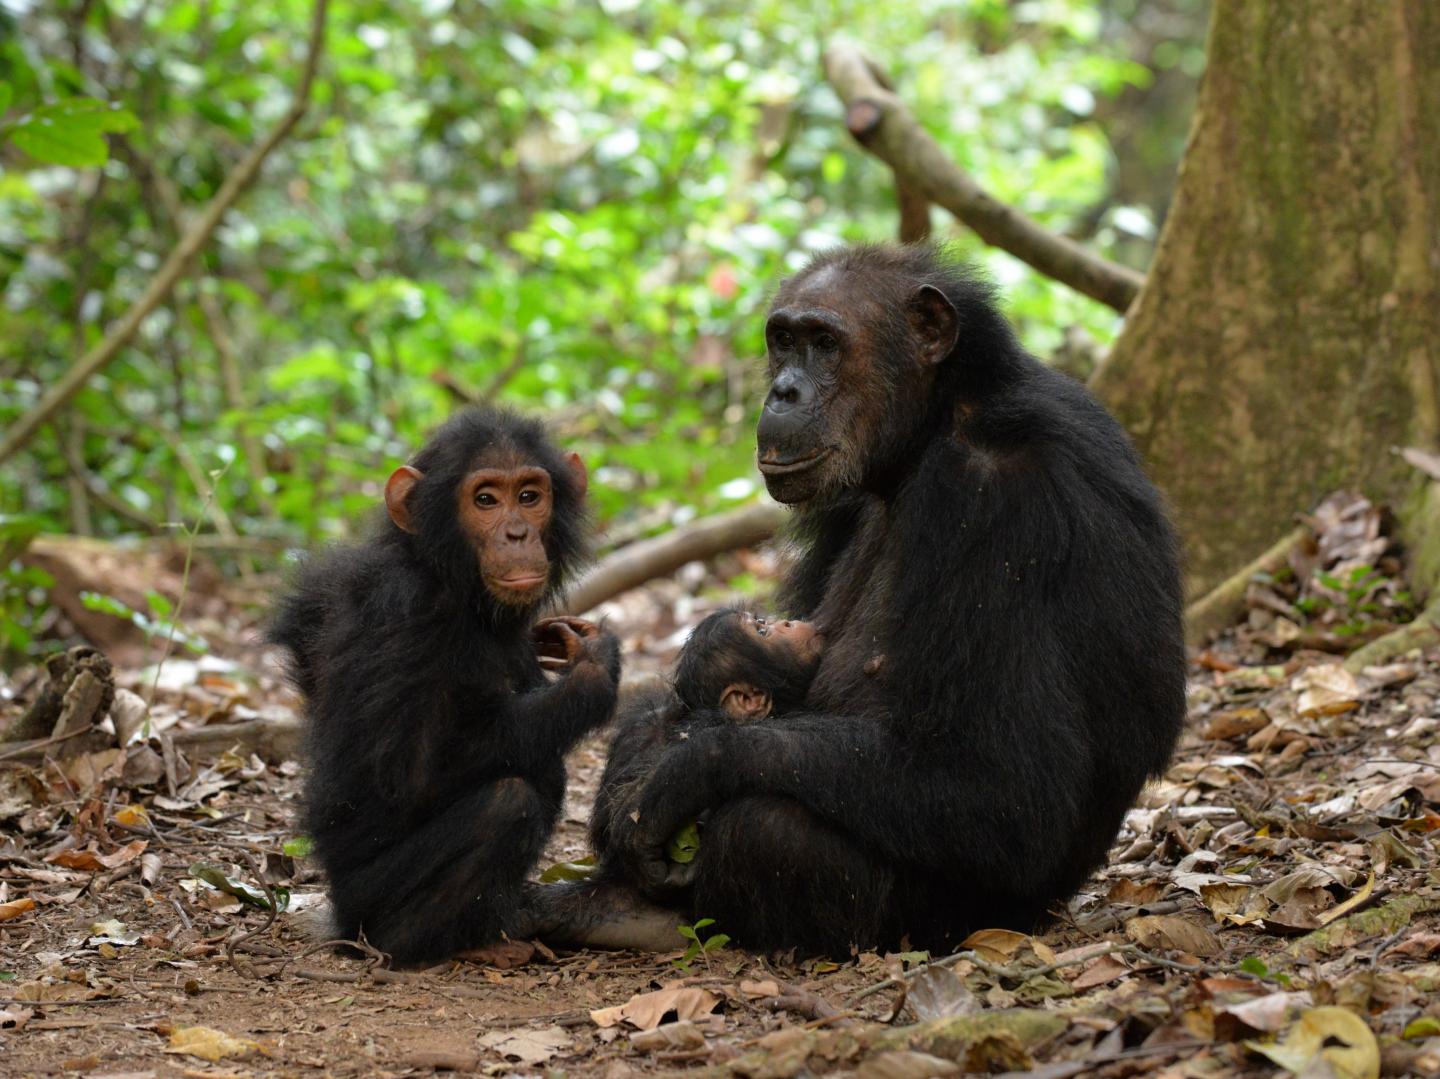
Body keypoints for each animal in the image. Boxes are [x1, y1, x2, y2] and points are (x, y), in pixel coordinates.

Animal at [270, 409, 619, 962]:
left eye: (529, 496)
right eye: (485, 500)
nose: (517, 533)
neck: (452, 581)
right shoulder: (409, 616)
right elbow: (412, 776)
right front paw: (593, 669)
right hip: (366, 898)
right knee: (508, 802)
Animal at [590, 243, 1186, 950]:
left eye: (825, 343)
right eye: (783, 340)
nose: (782, 391)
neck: (925, 436)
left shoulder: (1000, 504)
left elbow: (1007, 786)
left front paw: (685, 768)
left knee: (763, 828)